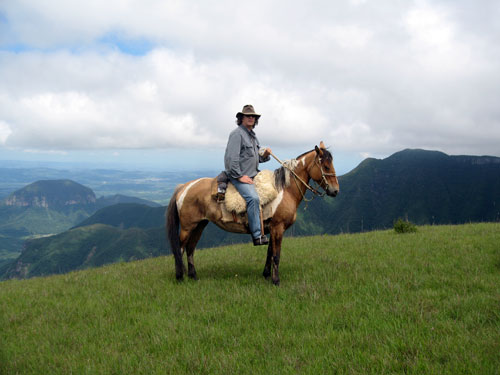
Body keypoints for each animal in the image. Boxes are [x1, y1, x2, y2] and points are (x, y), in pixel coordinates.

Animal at [167, 142, 340, 286]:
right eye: (325, 166)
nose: (335, 191)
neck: (285, 190)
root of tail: (184, 187)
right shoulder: (278, 228)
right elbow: (276, 255)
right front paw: (276, 281)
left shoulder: (272, 229)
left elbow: (270, 253)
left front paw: (266, 275)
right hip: (187, 227)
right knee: (180, 249)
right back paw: (180, 277)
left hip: (200, 225)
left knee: (190, 248)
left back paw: (193, 276)